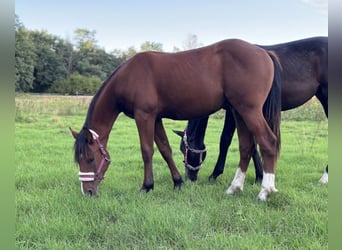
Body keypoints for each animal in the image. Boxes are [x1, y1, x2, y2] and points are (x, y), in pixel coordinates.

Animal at [68, 38, 282, 200]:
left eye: (90, 158)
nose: (88, 192)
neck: (128, 77)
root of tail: (264, 53)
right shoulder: (155, 118)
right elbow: (165, 149)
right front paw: (178, 182)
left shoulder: (144, 116)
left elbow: (147, 151)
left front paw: (147, 186)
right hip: (238, 112)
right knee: (246, 147)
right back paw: (234, 188)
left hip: (249, 111)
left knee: (268, 142)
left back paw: (265, 191)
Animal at [175, 37, 328, 185]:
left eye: (183, 149)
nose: (189, 177)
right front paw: (259, 175)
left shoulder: (234, 111)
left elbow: (225, 140)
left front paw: (215, 174)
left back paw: (324, 177)